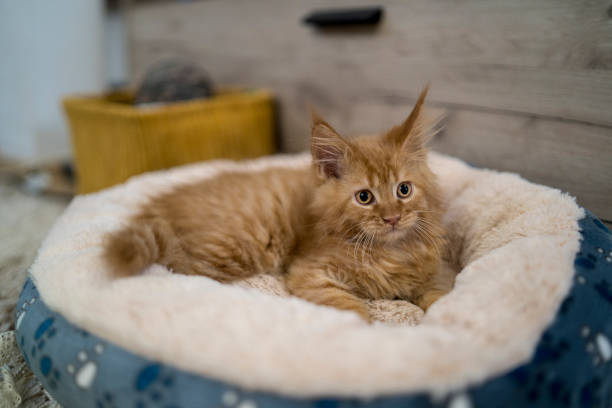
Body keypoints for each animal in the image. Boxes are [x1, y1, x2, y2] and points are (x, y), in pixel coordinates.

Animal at [105, 87, 450, 322]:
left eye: (403, 190)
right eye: (364, 197)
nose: (392, 218)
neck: (390, 252)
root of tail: (160, 205)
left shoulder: (434, 275)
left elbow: (442, 297)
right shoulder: (310, 272)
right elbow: (353, 309)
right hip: (236, 246)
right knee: (187, 276)